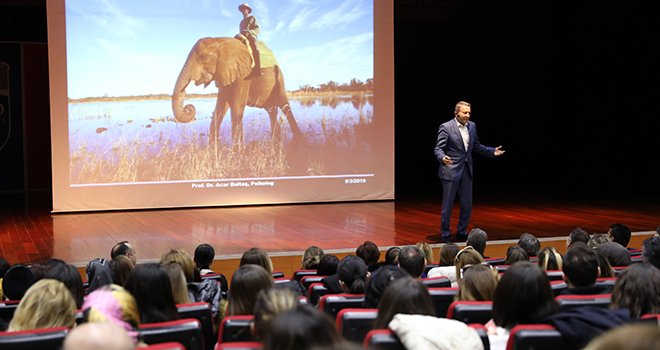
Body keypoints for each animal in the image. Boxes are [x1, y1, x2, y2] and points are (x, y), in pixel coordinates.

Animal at [170, 37, 304, 147]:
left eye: (205, 58)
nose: (188, 107)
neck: (220, 40)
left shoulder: (244, 75)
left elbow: (236, 105)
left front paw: (237, 150)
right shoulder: (225, 73)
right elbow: (221, 106)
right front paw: (214, 145)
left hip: (280, 80)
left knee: (285, 106)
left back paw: (299, 138)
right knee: (271, 110)